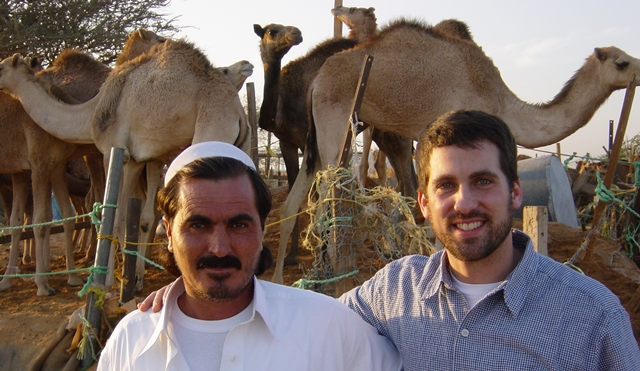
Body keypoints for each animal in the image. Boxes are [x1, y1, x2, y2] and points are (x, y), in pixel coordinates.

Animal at [0, 37, 250, 294]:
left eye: (1, 67)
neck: (90, 112)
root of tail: (238, 112)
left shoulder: (111, 151)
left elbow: (110, 211)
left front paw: (105, 280)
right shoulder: (134, 159)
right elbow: (127, 215)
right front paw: (129, 279)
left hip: (209, 134)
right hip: (242, 145)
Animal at [272, 18, 640, 282]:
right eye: (622, 62)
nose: (638, 70)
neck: (500, 100)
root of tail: (318, 78)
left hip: (320, 132)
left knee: (298, 198)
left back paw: (281, 277)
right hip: (335, 121)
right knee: (328, 198)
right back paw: (330, 276)